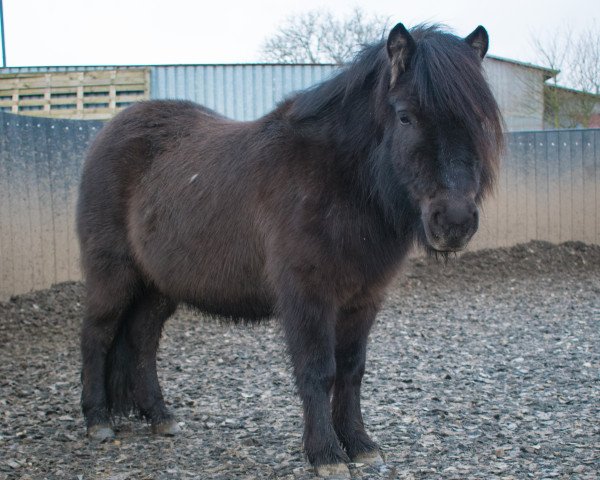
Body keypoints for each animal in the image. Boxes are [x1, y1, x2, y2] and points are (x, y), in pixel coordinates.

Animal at [77, 22, 504, 476]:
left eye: (479, 120)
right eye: (406, 116)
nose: (454, 221)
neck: (340, 181)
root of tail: (108, 132)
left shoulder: (363, 299)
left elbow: (351, 370)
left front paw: (360, 445)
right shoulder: (308, 296)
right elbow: (318, 372)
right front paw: (327, 455)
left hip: (158, 287)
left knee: (142, 340)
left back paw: (160, 416)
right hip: (113, 276)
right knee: (97, 335)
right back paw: (98, 420)